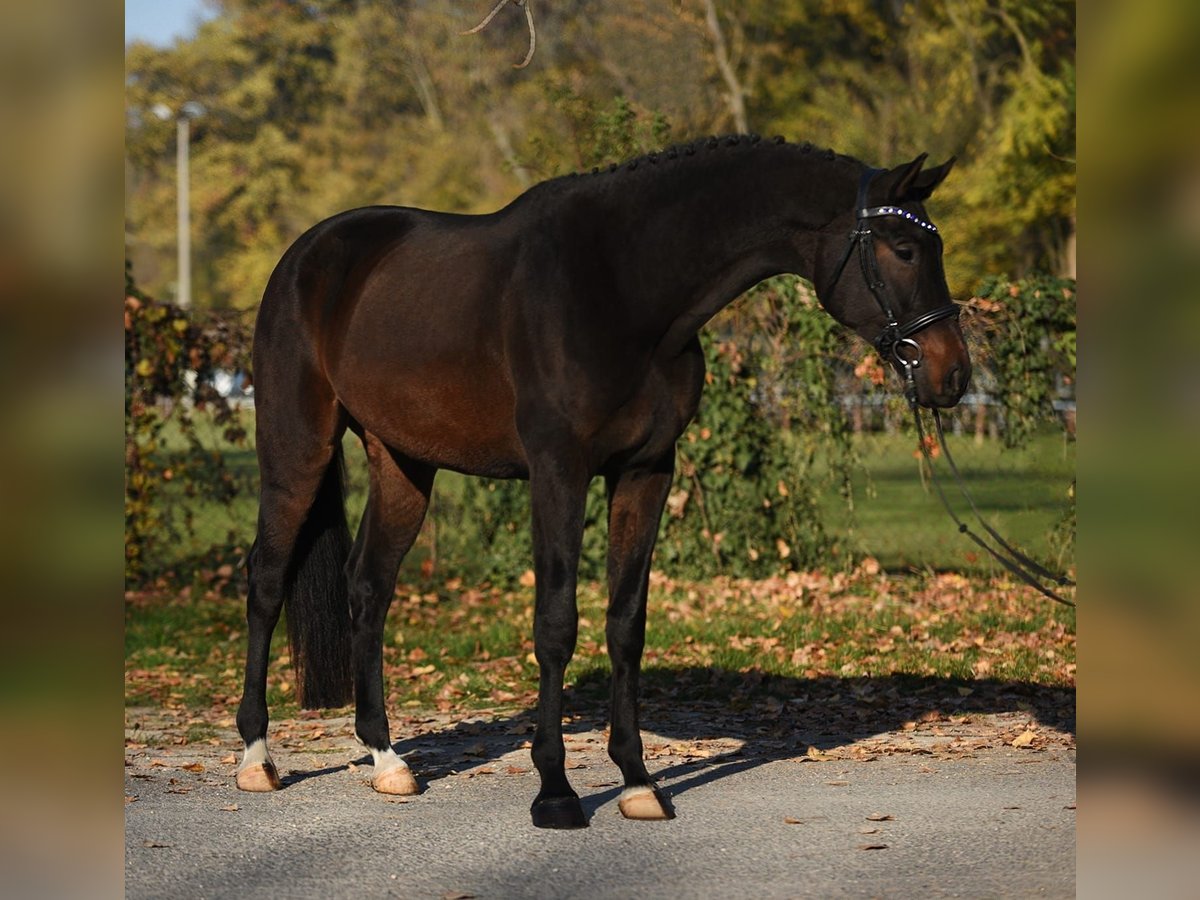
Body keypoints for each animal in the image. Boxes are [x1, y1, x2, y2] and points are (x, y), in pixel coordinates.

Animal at [236, 135, 974, 830]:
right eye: (905, 249)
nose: (954, 376)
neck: (624, 287)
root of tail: (308, 255)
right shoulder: (559, 472)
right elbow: (557, 623)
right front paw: (556, 792)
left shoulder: (646, 471)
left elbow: (626, 623)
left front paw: (639, 783)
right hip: (295, 448)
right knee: (267, 580)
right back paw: (257, 758)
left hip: (404, 463)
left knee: (369, 587)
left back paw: (388, 761)